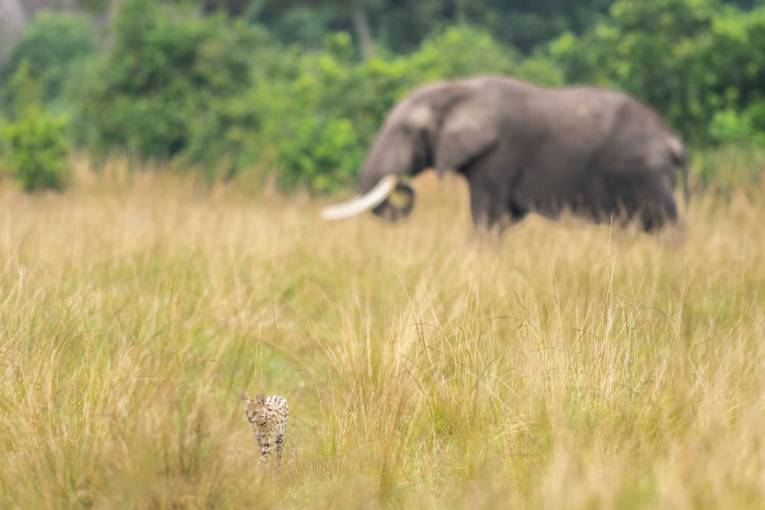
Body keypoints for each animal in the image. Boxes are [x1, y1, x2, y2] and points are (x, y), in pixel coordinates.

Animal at [320, 74, 688, 233]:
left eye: (409, 131)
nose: (404, 185)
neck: (457, 89)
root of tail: (672, 139)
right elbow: (506, 218)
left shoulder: (498, 155)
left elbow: (487, 216)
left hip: (642, 171)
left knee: (666, 223)